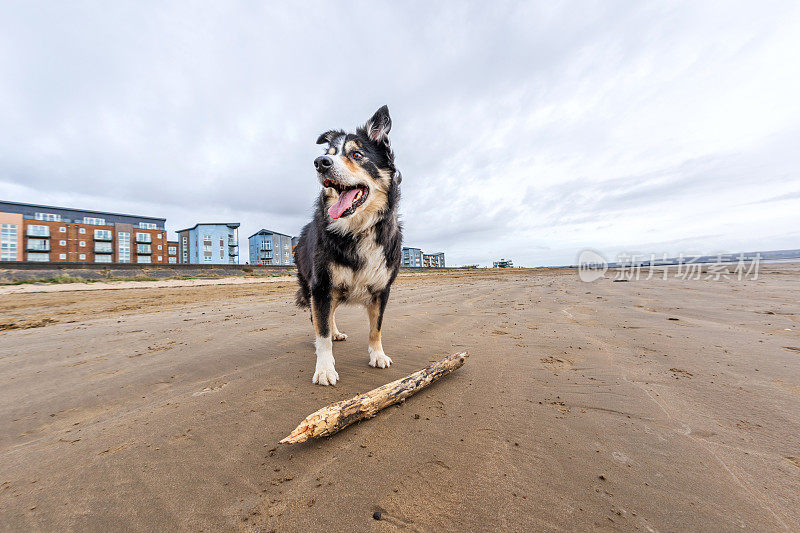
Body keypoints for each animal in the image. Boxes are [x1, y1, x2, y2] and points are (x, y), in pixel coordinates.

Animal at [294, 105, 404, 386]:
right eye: (330, 154)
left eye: (356, 154)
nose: (320, 163)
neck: (357, 229)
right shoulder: (321, 286)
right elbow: (321, 329)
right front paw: (324, 368)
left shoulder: (381, 289)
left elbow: (376, 327)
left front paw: (378, 355)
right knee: (319, 317)